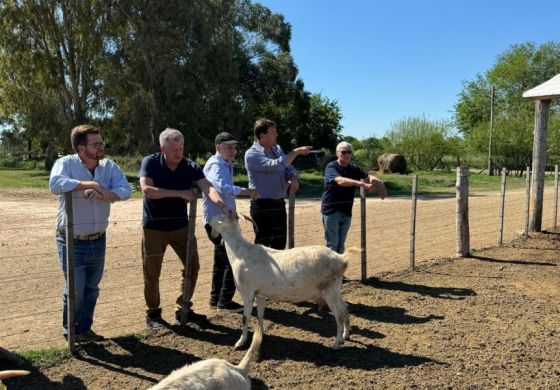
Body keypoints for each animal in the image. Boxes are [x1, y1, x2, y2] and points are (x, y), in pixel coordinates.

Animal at [208, 212, 356, 348]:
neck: (240, 253)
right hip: (335, 289)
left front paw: (240, 342)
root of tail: (342, 259)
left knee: (339, 314)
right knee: (345, 307)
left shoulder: (248, 293)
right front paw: (261, 334)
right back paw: (346, 334)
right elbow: (260, 315)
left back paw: (337, 343)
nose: (208, 223)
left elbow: (245, 318)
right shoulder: (260, 294)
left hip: (329, 291)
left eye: (220, 217)